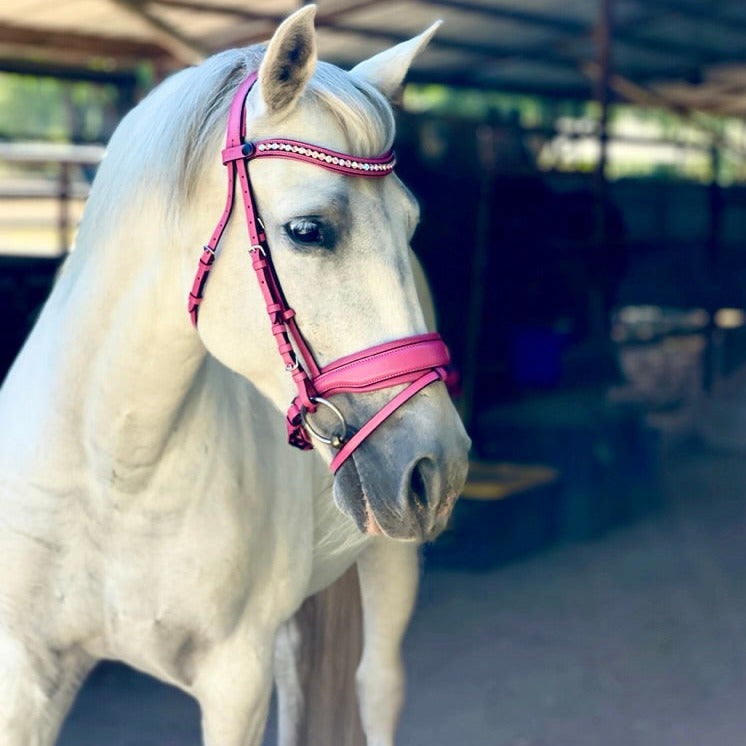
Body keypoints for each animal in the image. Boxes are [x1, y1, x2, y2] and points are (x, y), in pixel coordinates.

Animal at [0, 7, 468, 744]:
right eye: (307, 229)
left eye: (412, 223)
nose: (439, 468)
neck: (111, 468)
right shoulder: (26, 673)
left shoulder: (234, 680)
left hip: (389, 560)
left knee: (378, 687)